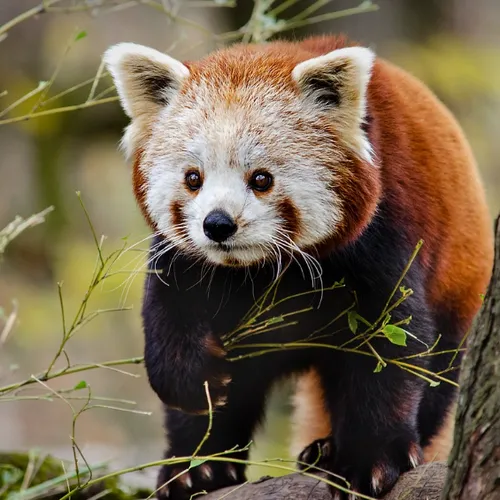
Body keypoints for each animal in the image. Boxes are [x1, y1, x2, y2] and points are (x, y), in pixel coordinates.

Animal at [103, 36, 494, 500]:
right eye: (193, 178)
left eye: (261, 179)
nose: (217, 224)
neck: (262, 268)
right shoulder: (186, 262)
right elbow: (171, 321)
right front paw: (195, 384)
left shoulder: (385, 234)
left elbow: (392, 348)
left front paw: (371, 458)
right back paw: (198, 468)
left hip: (459, 280)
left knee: (440, 374)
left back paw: (328, 448)